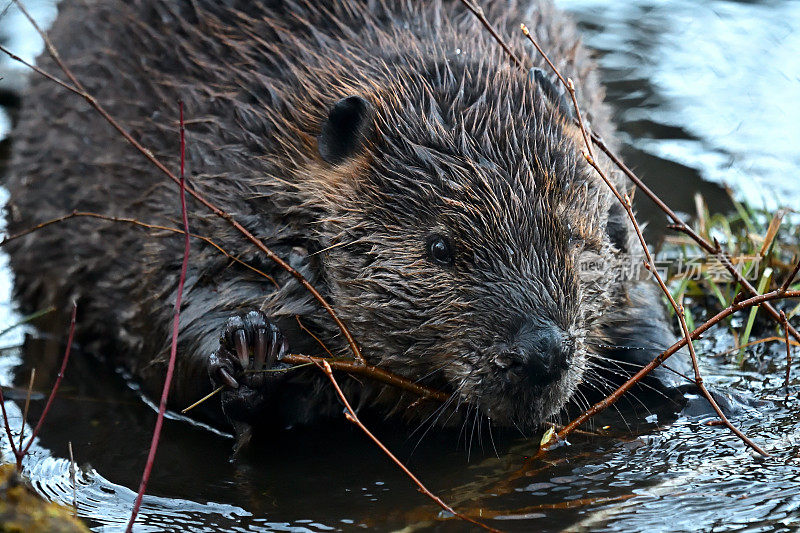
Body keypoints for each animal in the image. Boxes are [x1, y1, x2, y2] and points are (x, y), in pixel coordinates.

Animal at [3, 0, 688, 438]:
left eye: (573, 237)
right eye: (440, 248)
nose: (540, 351)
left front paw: (670, 369)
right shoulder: (206, 182)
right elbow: (170, 321)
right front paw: (251, 349)